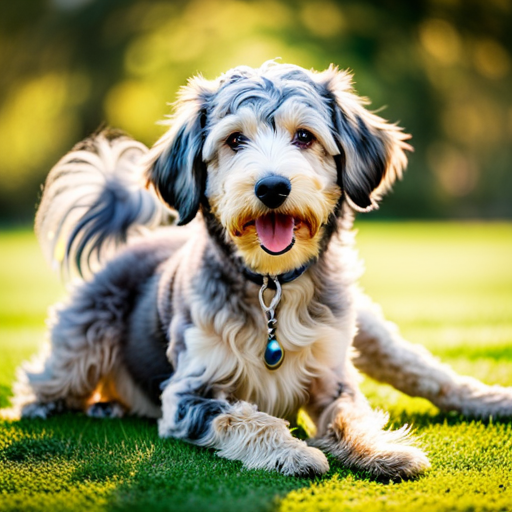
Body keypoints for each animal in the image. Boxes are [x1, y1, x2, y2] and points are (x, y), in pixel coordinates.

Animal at [13, 63, 512, 480]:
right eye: (234, 140)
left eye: (305, 136)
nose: (272, 187)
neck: (272, 285)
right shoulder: (187, 394)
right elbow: (246, 416)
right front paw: (292, 452)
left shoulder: (334, 377)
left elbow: (353, 415)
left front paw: (381, 449)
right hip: (80, 350)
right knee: (40, 386)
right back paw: (66, 408)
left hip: (366, 327)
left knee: (426, 372)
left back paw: (491, 399)